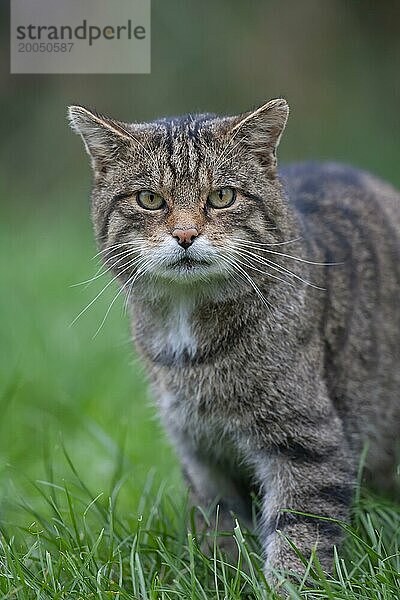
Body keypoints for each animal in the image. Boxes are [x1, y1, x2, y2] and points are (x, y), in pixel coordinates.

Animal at [68, 101, 400, 584]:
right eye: (150, 199)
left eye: (222, 196)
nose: (185, 235)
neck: (189, 346)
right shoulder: (203, 454)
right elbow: (222, 526)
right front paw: (222, 578)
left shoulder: (306, 445)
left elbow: (299, 538)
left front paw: (286, 588)